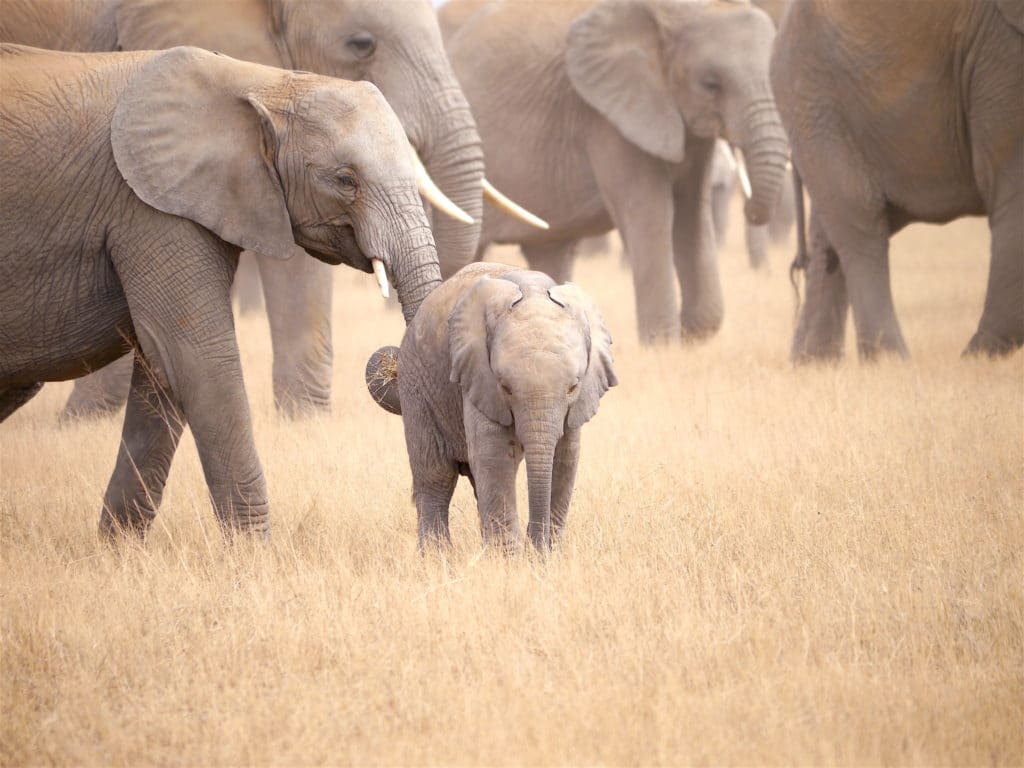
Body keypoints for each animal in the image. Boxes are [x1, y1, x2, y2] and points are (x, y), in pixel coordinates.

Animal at [0, 41, 442, 536]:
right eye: (345, 180)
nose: (392, 360)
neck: (261, 81)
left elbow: (161, 368)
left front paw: (119, 546)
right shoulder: (148, 207)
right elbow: (196, 357)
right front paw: (254, 548)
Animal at [364, 264, 614, 552]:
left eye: (573, 387)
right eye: (505, 387)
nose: (535, 548)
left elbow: (565, 456)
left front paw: (547, 554)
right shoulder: (476, 376)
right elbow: (493, 455)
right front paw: (511, 558)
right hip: (417, 388)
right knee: (435, 475)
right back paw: (437, 557)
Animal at [444, 0, 786, 342]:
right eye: (711, 84)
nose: (751, 209)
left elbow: (692, 212)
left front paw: (695, 336)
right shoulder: (607, 119)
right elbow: (652, 213)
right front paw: (662, 344)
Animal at [774, 0, 1024, 360]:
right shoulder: (1004, 55)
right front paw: (974, 362)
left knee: (832, 229)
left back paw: (814, 365)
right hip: (814, 96)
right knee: (861, 226)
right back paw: (892, 363)